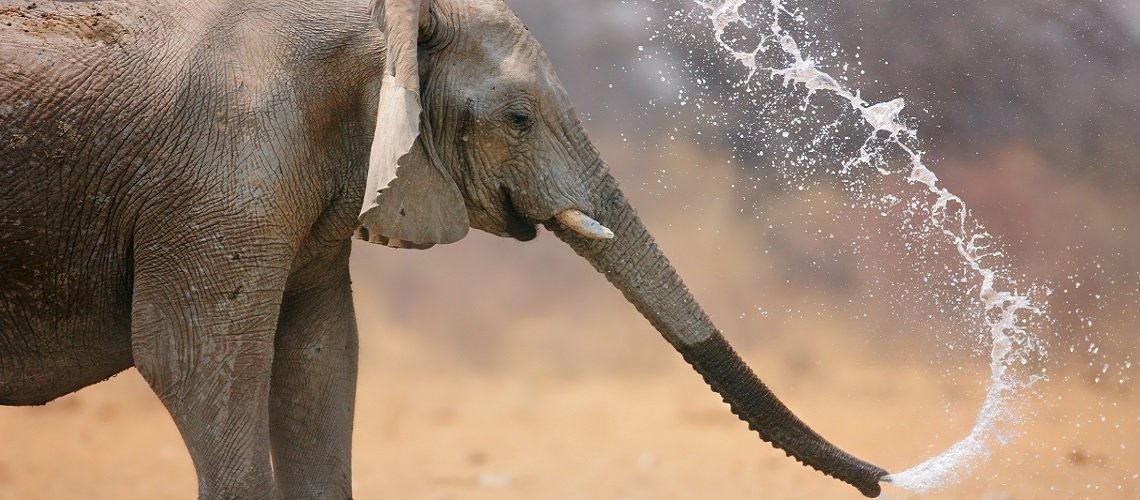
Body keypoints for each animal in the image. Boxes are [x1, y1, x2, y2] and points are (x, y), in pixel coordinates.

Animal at [0, 0, 888, 497]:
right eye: (520, 119)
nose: (887, 479)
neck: (382, 18)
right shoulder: (223, 171)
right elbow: (191, 360)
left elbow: (320, 357)